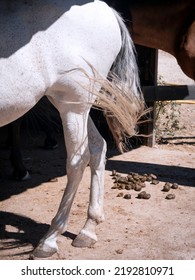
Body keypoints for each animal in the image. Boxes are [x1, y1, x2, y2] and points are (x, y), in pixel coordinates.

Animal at [0, 0, 143, 258]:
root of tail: (106, 8)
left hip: (72, 105)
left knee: (78, 161)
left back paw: (50, 239)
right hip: (76, 105)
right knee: (98, 147)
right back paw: (89, 229)